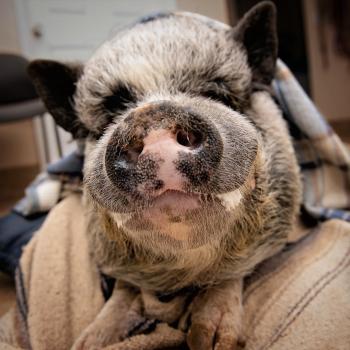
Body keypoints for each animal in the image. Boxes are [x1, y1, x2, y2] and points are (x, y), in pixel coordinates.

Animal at [28, 1, 300, 348]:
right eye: (111, 114)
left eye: (217, 94)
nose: (152, 114)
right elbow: (123, 288)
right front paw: (90, 342)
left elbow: (232, 275)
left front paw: (209, 340)